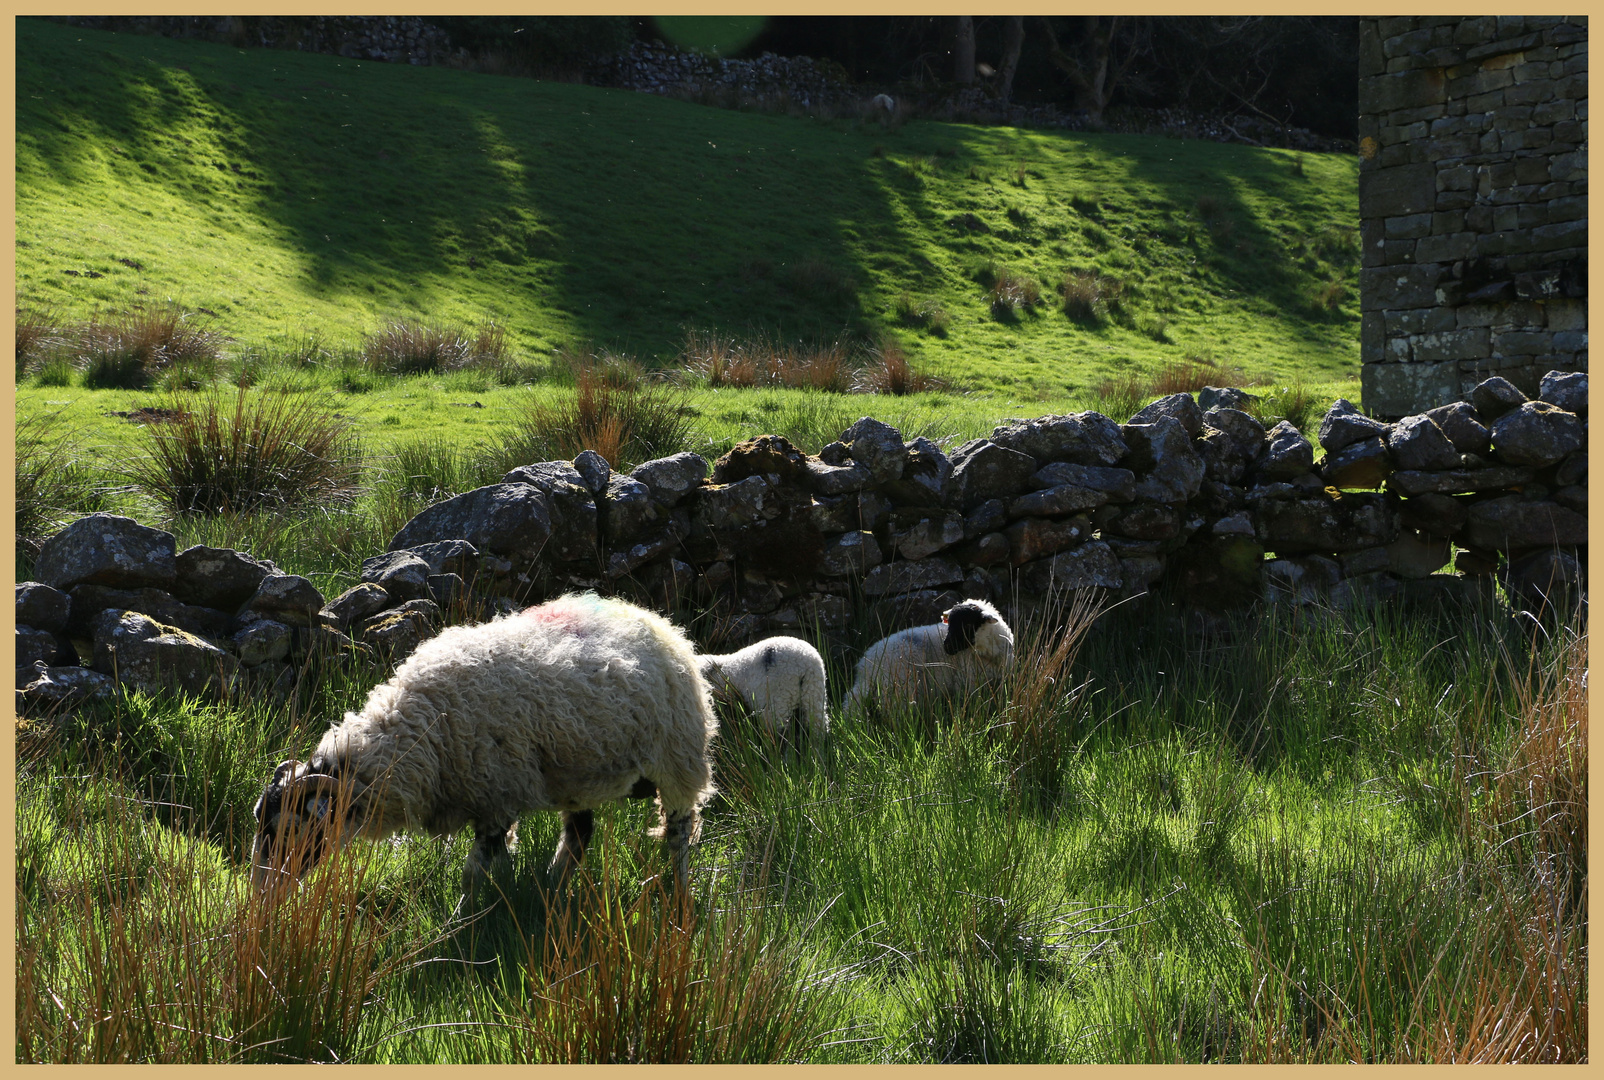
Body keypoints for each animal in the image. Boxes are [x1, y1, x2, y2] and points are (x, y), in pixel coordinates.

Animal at [248, 590, 715, 898]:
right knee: (580, 834)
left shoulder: (495, 799)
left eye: (290, 829)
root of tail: (656, 622)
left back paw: (679, 892)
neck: (418, 732)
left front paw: (457, 930)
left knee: (678, 831)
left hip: (678, 758)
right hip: (577, 772)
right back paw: (553, 888)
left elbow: (474, 874)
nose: (261, 897)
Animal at [840, 593, 1013, 712]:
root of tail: (865, 667)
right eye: (950, 623)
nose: (947, 647)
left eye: (969, 624)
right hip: (898, 689)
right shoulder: (966, 683)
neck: (987, 653)